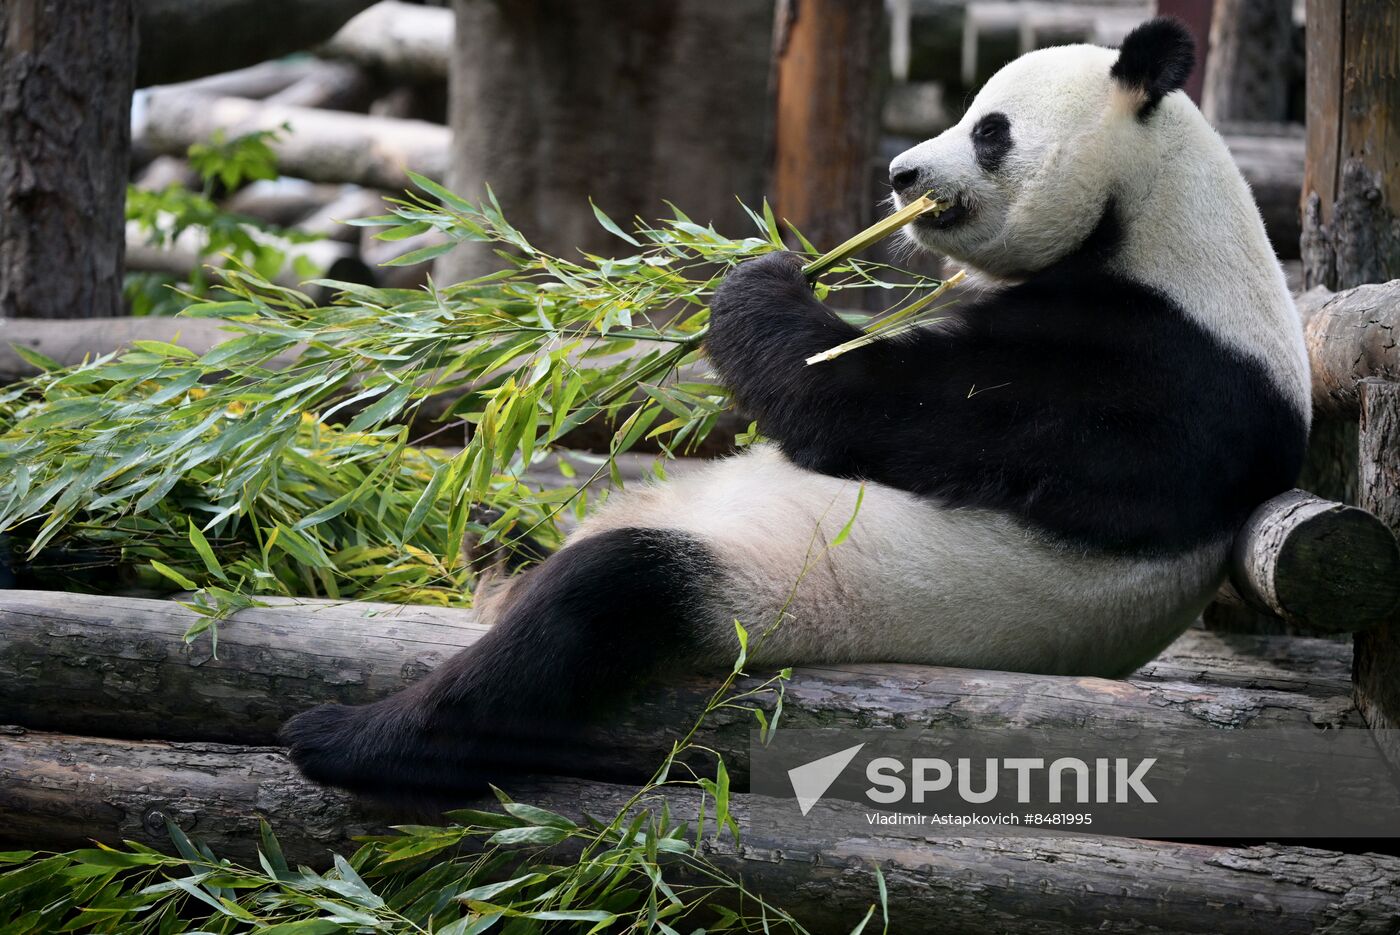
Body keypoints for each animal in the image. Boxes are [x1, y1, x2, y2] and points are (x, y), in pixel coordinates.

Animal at [284, 18, 1310, 795]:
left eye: (990, 129)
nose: (900, 174)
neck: (1159, 219)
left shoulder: (1158, 374)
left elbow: (870, 406)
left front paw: (759, 278)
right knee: (532, 542)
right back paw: (493, 546)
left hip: (766, 596)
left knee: (595, 603)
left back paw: (348, 735)